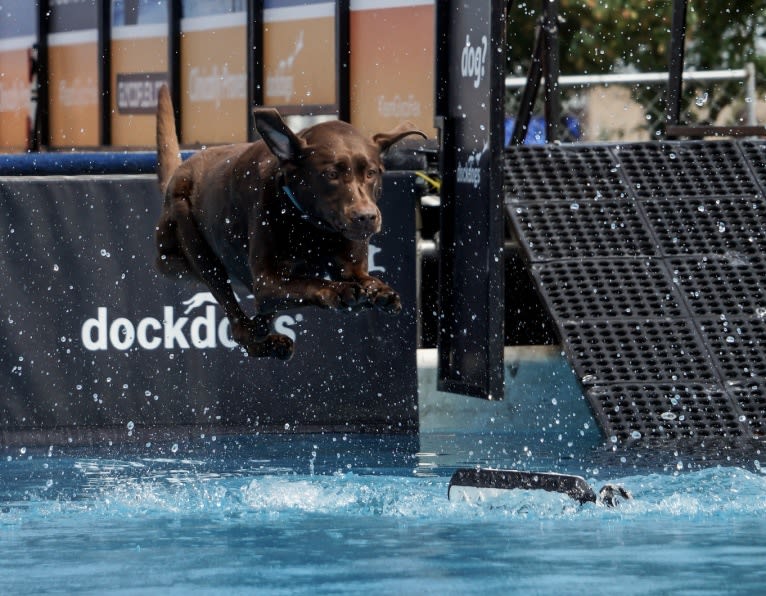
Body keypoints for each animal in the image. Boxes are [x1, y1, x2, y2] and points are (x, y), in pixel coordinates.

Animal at [154, 86, 426, 358]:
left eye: (371, 173)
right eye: (331, 174)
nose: (366, 217)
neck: (309, 225)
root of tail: (178, 171)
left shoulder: (350, 266)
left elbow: (363, 278)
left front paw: (380, 291)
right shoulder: (267, 283)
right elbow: (309, 283)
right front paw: (339, 290)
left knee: (259, 318)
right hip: (190, 248)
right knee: (241, 327)